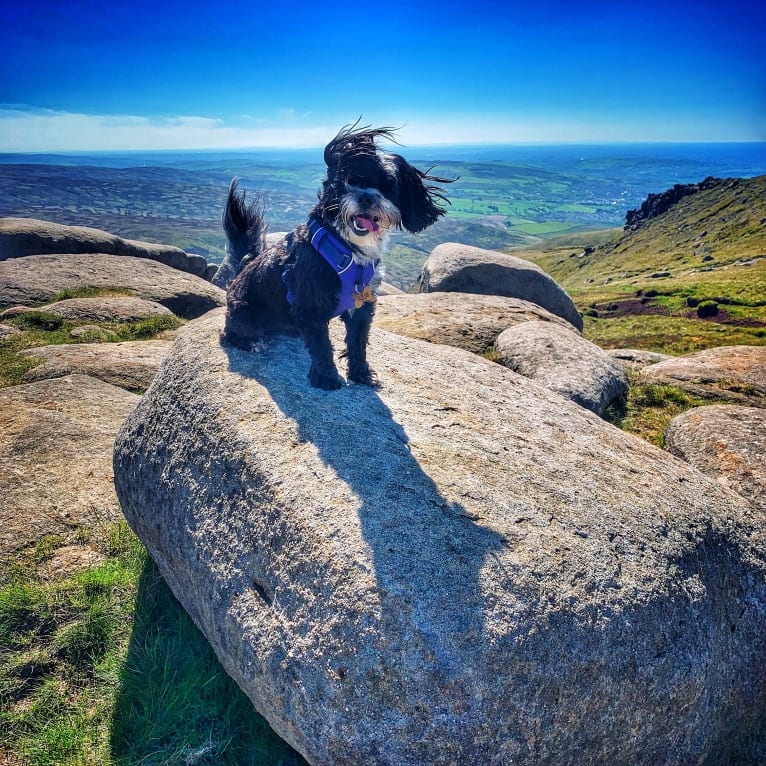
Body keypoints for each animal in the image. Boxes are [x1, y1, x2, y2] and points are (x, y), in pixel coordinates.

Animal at [219, 125, 452, 392]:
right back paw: (252, 342)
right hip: (243, 311)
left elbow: (358, 342)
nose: (366, 197)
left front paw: (361, 374)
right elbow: (322, 347)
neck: (347, 250)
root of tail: (239, 274)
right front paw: (326, 377)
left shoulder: (362, 305)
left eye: (389, 185)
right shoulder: (311, 305)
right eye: (350, 180)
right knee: (230, 333)